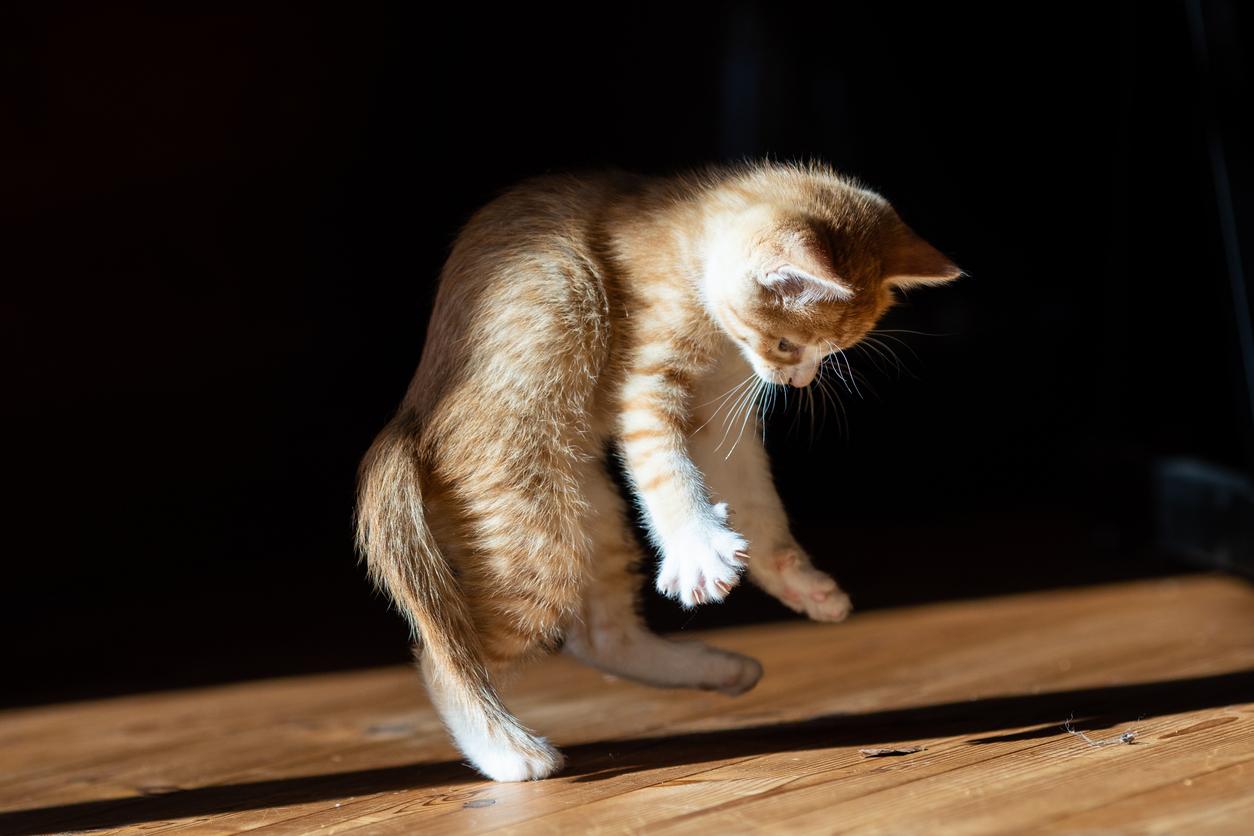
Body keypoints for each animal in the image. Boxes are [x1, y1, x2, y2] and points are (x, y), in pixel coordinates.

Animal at [356, 160, 958, 782]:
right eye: (788, 343)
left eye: (832, 350)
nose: (798, 382)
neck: (686, 237)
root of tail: (409, 422)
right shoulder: (644, 382)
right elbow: (666, 469)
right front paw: (698, 545)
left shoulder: (722, 417)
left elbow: (755, 500)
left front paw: (799, 582)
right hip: (534, 528)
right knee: (444, 659)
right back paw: (506, 752)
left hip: (593, 512)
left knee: (599, 636)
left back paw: (720, 669)